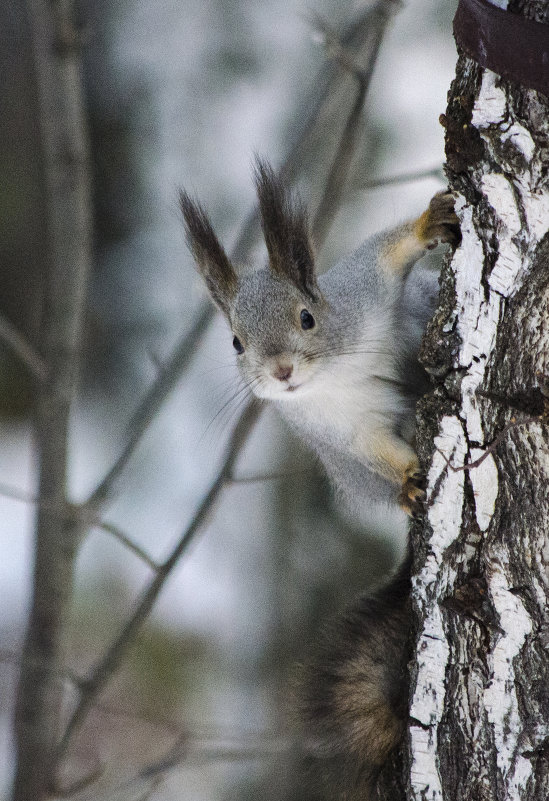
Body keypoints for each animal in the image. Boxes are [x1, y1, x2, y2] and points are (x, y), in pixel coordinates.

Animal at [179, 158, 458, 800]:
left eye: (307, 317)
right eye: (236, 342)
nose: (281, 372)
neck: (334, 373)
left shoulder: (363, 295)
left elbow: (385, 255)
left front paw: (430, 222)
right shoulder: (340, 433)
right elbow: (377, 453)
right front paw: (408, 478)